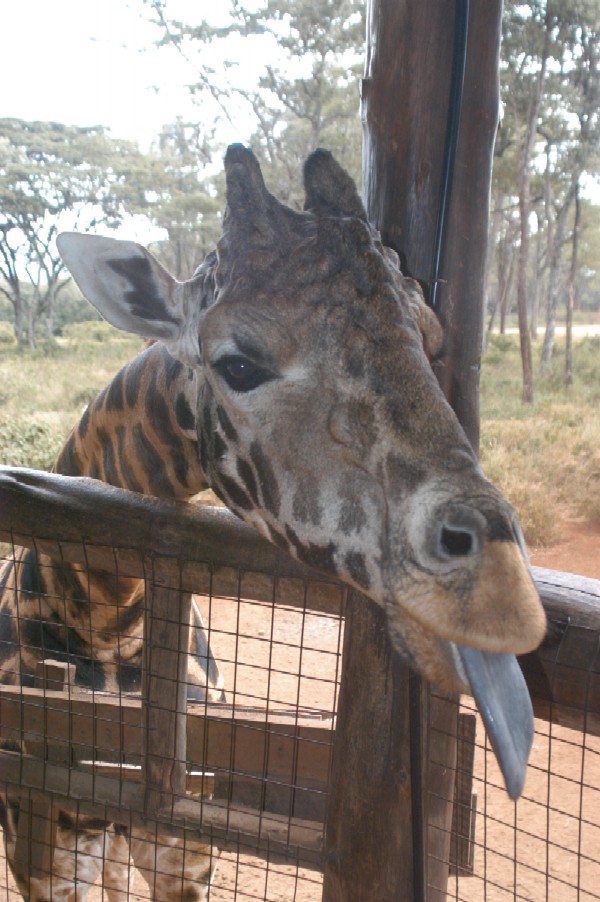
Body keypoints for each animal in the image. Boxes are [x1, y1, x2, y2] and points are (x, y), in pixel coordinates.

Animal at [0, 145, 548, 900]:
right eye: (238, 362)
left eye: (432, 341)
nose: (502, 599)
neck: (105, 618)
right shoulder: (43, 851)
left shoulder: (184, 838)